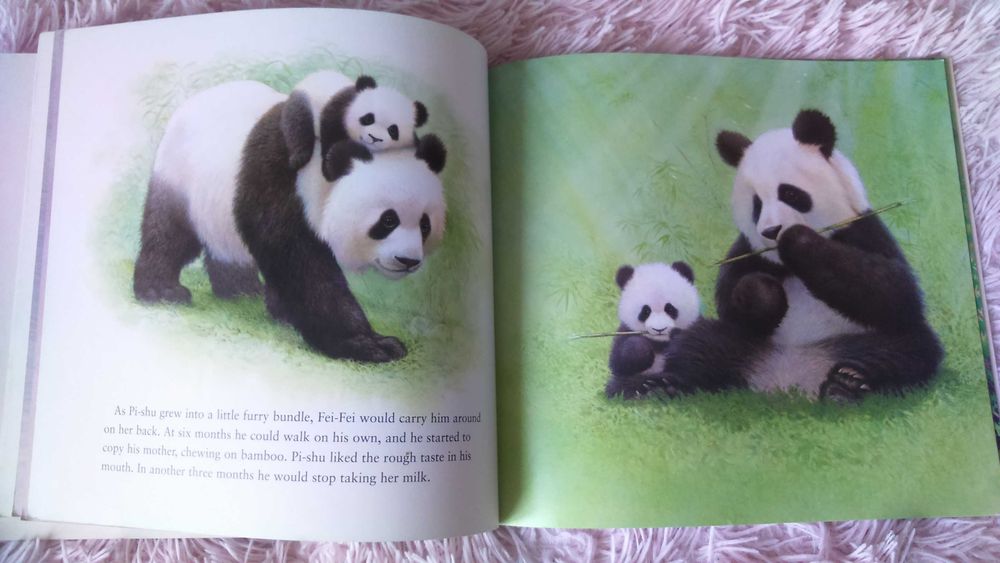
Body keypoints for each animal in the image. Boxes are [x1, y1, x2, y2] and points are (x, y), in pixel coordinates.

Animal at [133, 78, 447, 363]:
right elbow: (301, 263)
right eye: (388, 220)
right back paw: (161, 291)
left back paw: (241, 291)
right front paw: (369, 344)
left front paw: (285, 311)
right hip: (181, 176)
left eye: (425, 224)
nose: (408, 261)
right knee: (169, 233)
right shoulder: (281, 180)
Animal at [605, 262, 700, 399]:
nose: (659, 329)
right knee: (619, 385)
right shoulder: (624, 331)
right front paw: (641, 350)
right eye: (646, 311)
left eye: (670, 309)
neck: (660, 342)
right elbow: (618, 363)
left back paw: (668, 386)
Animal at [648, 109, 942, 402]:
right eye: (757, 204)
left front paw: (796, 239)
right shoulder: (748, 251)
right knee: (698, 343)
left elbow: (894, 292)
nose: (771, 231)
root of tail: (789, 379)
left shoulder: (859, 229)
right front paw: (762, 293)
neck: (784, 263)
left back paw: (847, 384)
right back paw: (664, 385)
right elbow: (731, 303)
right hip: (743, 343)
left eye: (789, 193)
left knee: (910, 347)